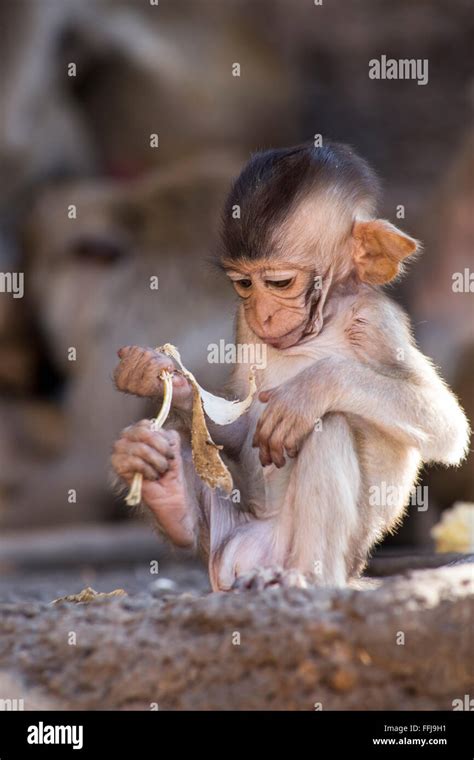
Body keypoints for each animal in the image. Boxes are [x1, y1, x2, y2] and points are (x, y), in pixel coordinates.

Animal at [112, 144, 470, 592]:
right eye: (244, 285)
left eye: (280, 283)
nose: (263, 315)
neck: (319, 326)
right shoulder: (242, 326)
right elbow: (239, 425)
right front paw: (158, 373)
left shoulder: (377, 323)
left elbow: (445, 425)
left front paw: (308, 391)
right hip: (229, 538)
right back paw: (166, 492)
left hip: (332, 558)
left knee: (327, 426)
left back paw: (302, 576)